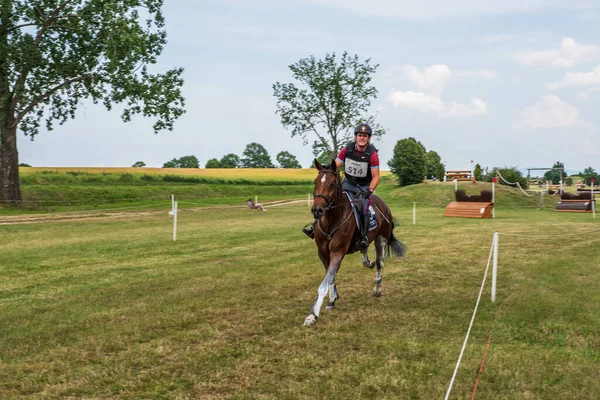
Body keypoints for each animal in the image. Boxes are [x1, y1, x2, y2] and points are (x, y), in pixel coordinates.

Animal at [304, 158, 408, 326]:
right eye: (315, 181)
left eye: (332, 183)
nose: (317, 210)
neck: (331, 220)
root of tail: (383, 204)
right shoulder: (323, 253)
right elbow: (330, 278)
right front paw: (332, 299)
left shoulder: (337, 252)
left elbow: (324, 284)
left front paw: (312, 314)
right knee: (365, 252)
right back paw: (368, 261)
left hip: (381, 239)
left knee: (380, 263)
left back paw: (377, 288)